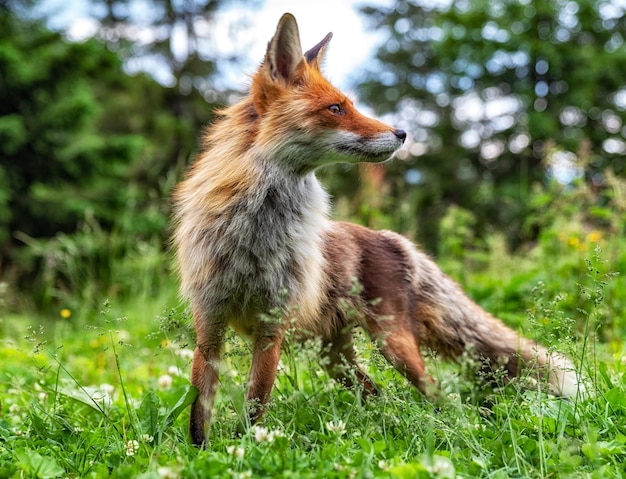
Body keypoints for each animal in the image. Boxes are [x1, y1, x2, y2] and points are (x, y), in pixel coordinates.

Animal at [172, 12, 580, 446]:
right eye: (336, 108)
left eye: (349, 105)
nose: (402, 133)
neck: (252, 234)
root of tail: (390, 237)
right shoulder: (209, 325)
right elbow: (199, 412)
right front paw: (204, 454)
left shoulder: (272, 328)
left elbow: (254, 407)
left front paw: (247, 449)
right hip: (333, 357)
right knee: (376, 391)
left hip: (393, 346)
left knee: (435, 393)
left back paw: (453, 429)